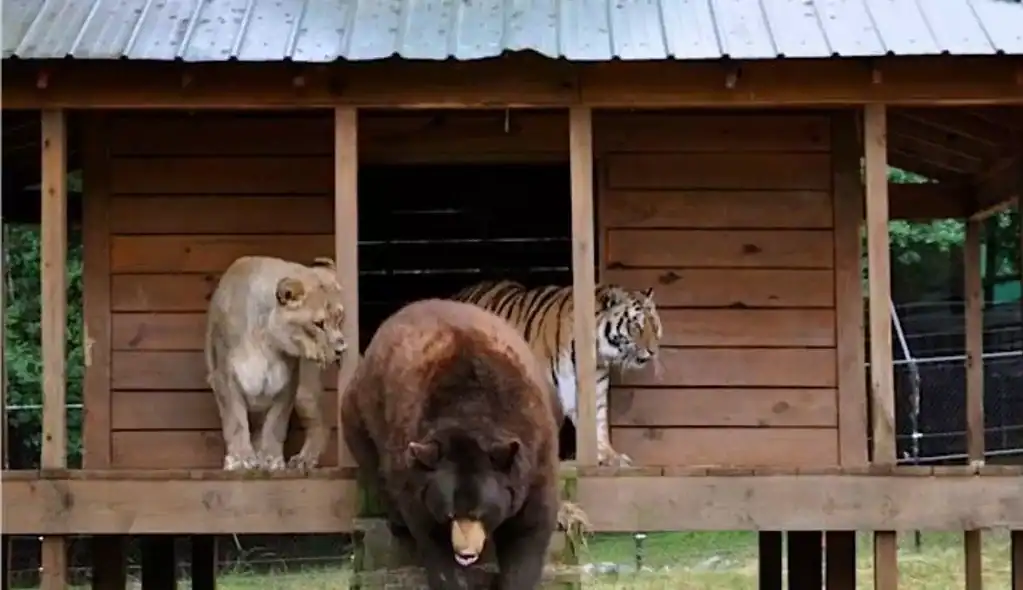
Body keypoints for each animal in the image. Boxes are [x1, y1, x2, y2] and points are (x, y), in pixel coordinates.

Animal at [204, 255, 348, 472]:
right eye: (318, 324)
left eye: (339, 319)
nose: (342, 349)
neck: (267, 342)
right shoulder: (224, 377)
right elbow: (235, 421)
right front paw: (240, 459)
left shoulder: (287, 382)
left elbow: (275, 424)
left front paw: (271, 459)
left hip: (305, 392)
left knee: (321, 426)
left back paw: (303, 460)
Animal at [340, 298, 561, 590]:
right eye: (449, 514)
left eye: (481, 512)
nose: (466, 554)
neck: (470, 412)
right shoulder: (416, 469)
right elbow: (431, 535)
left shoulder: (534, 447)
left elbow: (530, 528)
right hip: (361, 411)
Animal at [450, 279, 663, 467]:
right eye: (635, 326)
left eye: (654, 325)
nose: (653, 351)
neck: (598, 354)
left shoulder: (595, 386)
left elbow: (598, 422)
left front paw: (610, 456)